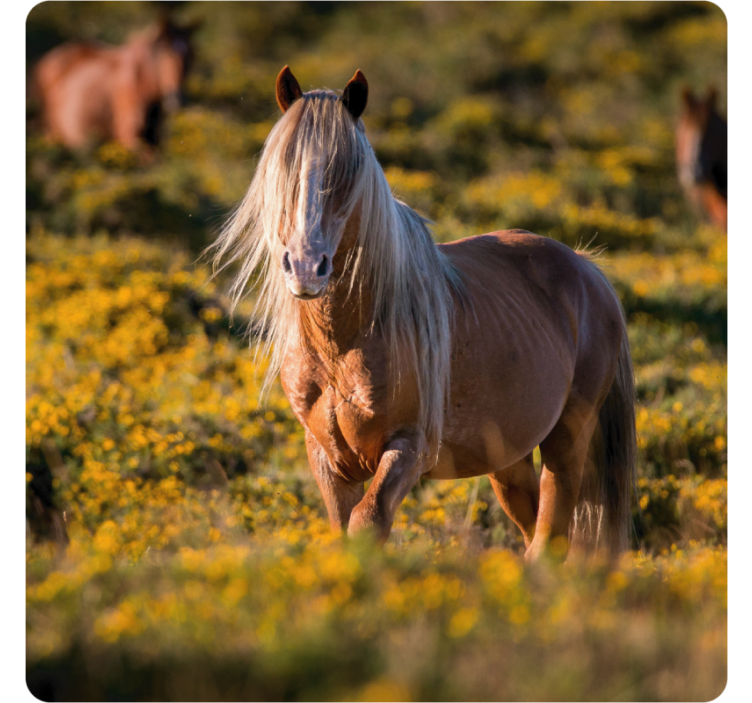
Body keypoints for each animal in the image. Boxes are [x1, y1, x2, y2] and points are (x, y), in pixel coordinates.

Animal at [33, 19, 197, 150]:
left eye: (191, 54)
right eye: (162, 53)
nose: (176, 98)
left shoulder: (153, 139)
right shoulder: (128, 136)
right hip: (52, 134)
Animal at [209, 66, 637, 561]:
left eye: (347, 170)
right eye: (285, 166)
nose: (305, 265)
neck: (345, 342)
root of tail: (589, 270)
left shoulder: (408, 448)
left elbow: (367, 521)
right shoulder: (327, 457)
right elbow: (343, 527)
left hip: (567, 440)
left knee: (550, 535)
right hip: (508, 459)